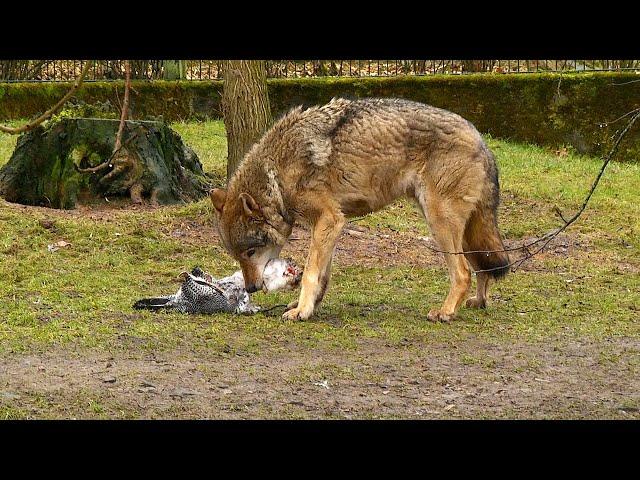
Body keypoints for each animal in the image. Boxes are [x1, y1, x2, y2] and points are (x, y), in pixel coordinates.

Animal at [210, 97, 510, 322]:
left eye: (250, 252)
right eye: (238, 256)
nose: (251, 287)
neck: (278, 173)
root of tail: (483, 141)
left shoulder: (329, 219)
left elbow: (309, 273)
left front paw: (301, 311)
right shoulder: (331, 225)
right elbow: (322, 275)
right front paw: (308, 307)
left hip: (440, 225)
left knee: (463, 273)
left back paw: (446, 312)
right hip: (462, 231)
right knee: (482, 268)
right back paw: (478, 302)